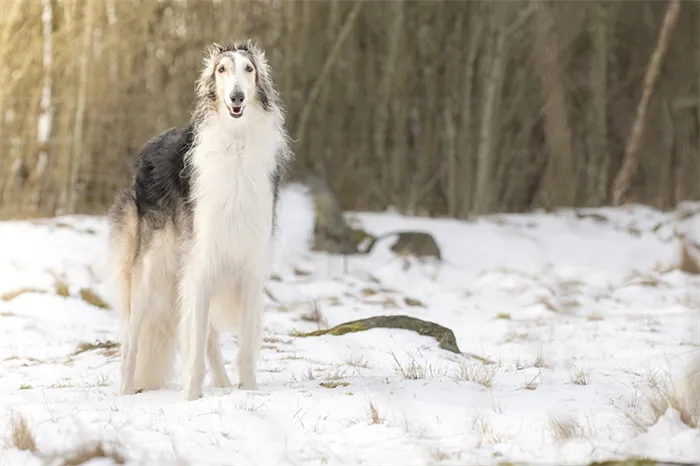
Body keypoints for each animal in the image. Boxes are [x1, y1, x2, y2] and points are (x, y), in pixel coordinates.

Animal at [106, 41, 290, 400]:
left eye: (249, 69)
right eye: (222, 69)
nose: (237, 97)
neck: (235, 145)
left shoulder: (249, 265)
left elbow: (244, 348)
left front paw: (249, 390)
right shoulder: (203, 261)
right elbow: (193, 343)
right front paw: (190, 398)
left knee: (207, 339)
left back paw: (223, 383)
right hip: (152, 268)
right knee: (132, 336)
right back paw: (126, 390)